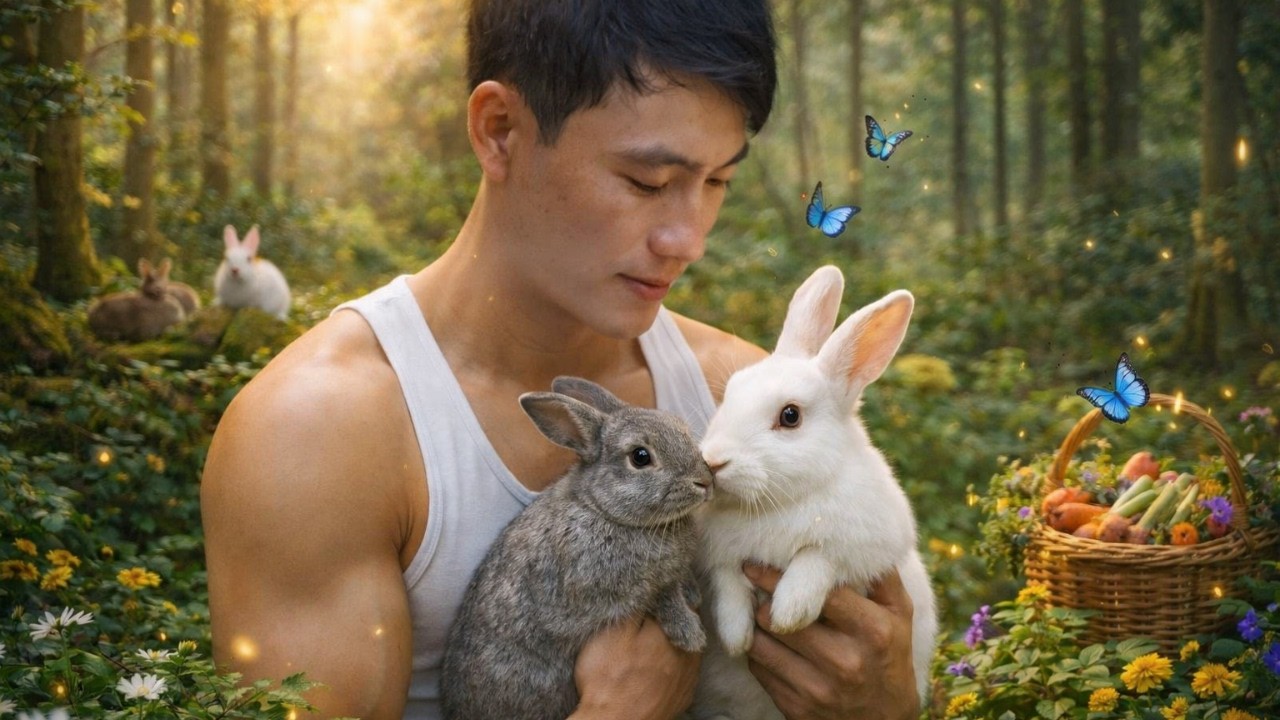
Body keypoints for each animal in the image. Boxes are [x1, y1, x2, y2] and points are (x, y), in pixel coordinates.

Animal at [441, 376, 714, 720]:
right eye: (640, 456)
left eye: (683, 430)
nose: (705, 481)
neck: (602, 510)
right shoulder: (610, 587)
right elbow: (661, 594)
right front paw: (690, 633)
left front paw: (692, 592)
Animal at [689, 265, 938, 720]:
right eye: (730, 392)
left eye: (790, 416)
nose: (713, 462)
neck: (776, 503)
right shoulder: (721, 556)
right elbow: (729, 584)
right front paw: (736, 637)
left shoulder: (860, 548)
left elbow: (816, 560)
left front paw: (789, 612)